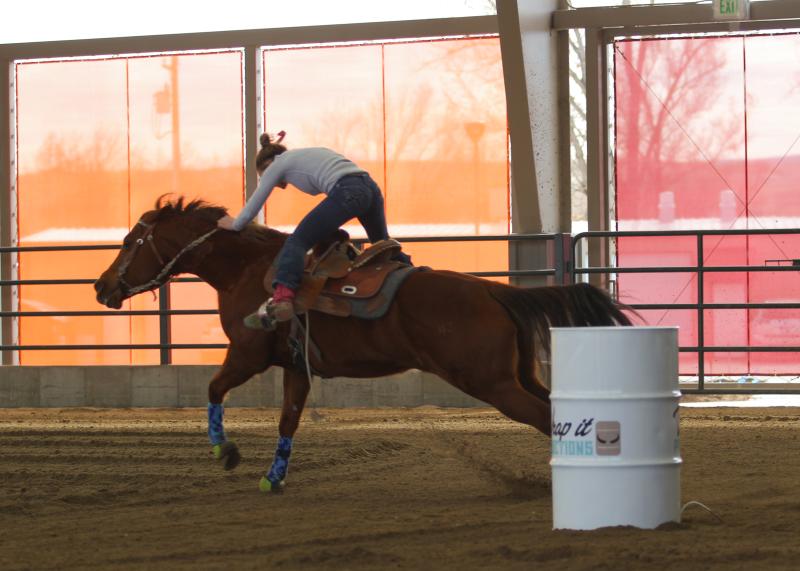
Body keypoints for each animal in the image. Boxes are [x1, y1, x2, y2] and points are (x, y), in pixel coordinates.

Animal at [95, 199, 632, 494]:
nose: (101, 287)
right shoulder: (295, 366)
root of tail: (496, 291)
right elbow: (288, 421)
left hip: (492, 383)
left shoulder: (247, 356)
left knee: (544, 417)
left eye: (129, 242)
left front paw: (225, 452)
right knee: (556, 411)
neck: (247, 269)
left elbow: (212, 389)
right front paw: (274, 478)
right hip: (516, 376)